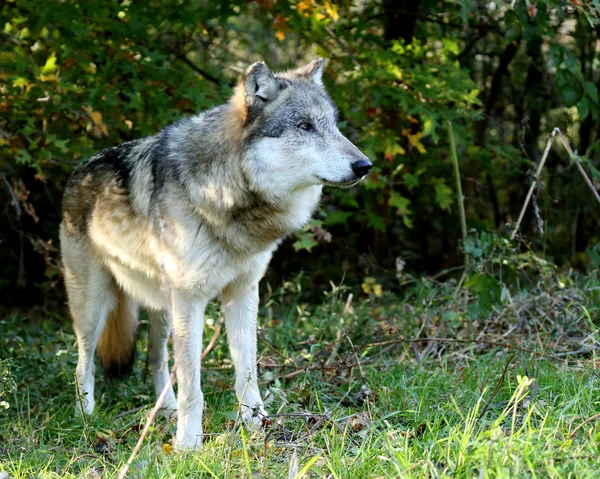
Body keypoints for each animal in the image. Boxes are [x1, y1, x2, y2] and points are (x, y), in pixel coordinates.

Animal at [61, 58, 370, 452]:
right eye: (305, 126)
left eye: (333, 125)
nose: (364, 165)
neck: (230, 195)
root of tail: (78, 171)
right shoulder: (191, 300)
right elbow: (193, 386)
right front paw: (188, 444)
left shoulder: (243, 293)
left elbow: (247, 371)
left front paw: (257, 425)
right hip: (95, 306)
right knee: (83, 362)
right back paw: (86, 416)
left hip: (163, 309)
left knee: (156, 358)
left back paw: (164, 411)